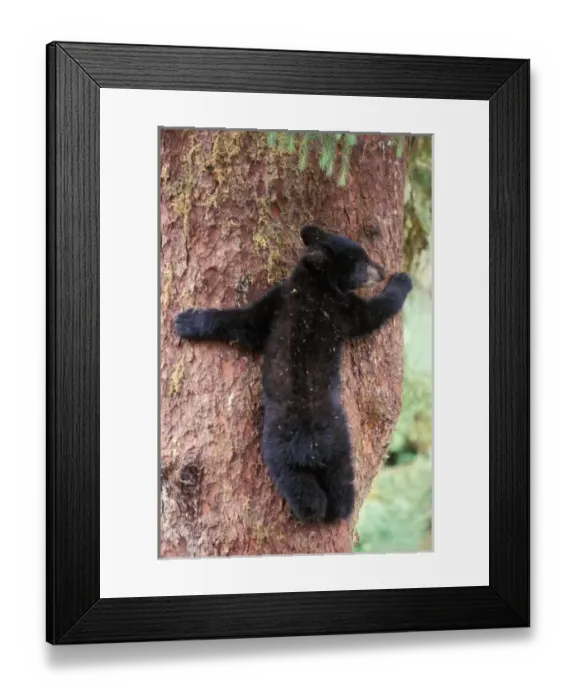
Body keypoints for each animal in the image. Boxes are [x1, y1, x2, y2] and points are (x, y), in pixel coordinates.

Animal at [174, 223, 413, 524]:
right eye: (362, 261)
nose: (382, 270)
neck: (317, 283)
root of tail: (311, 443)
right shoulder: (301, 299)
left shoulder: (307, 302)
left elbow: (246, 323)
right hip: (336, 447)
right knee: (338, 484)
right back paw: (337, 509)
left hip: (283, 453)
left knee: (306, 492)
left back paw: (318, 512)